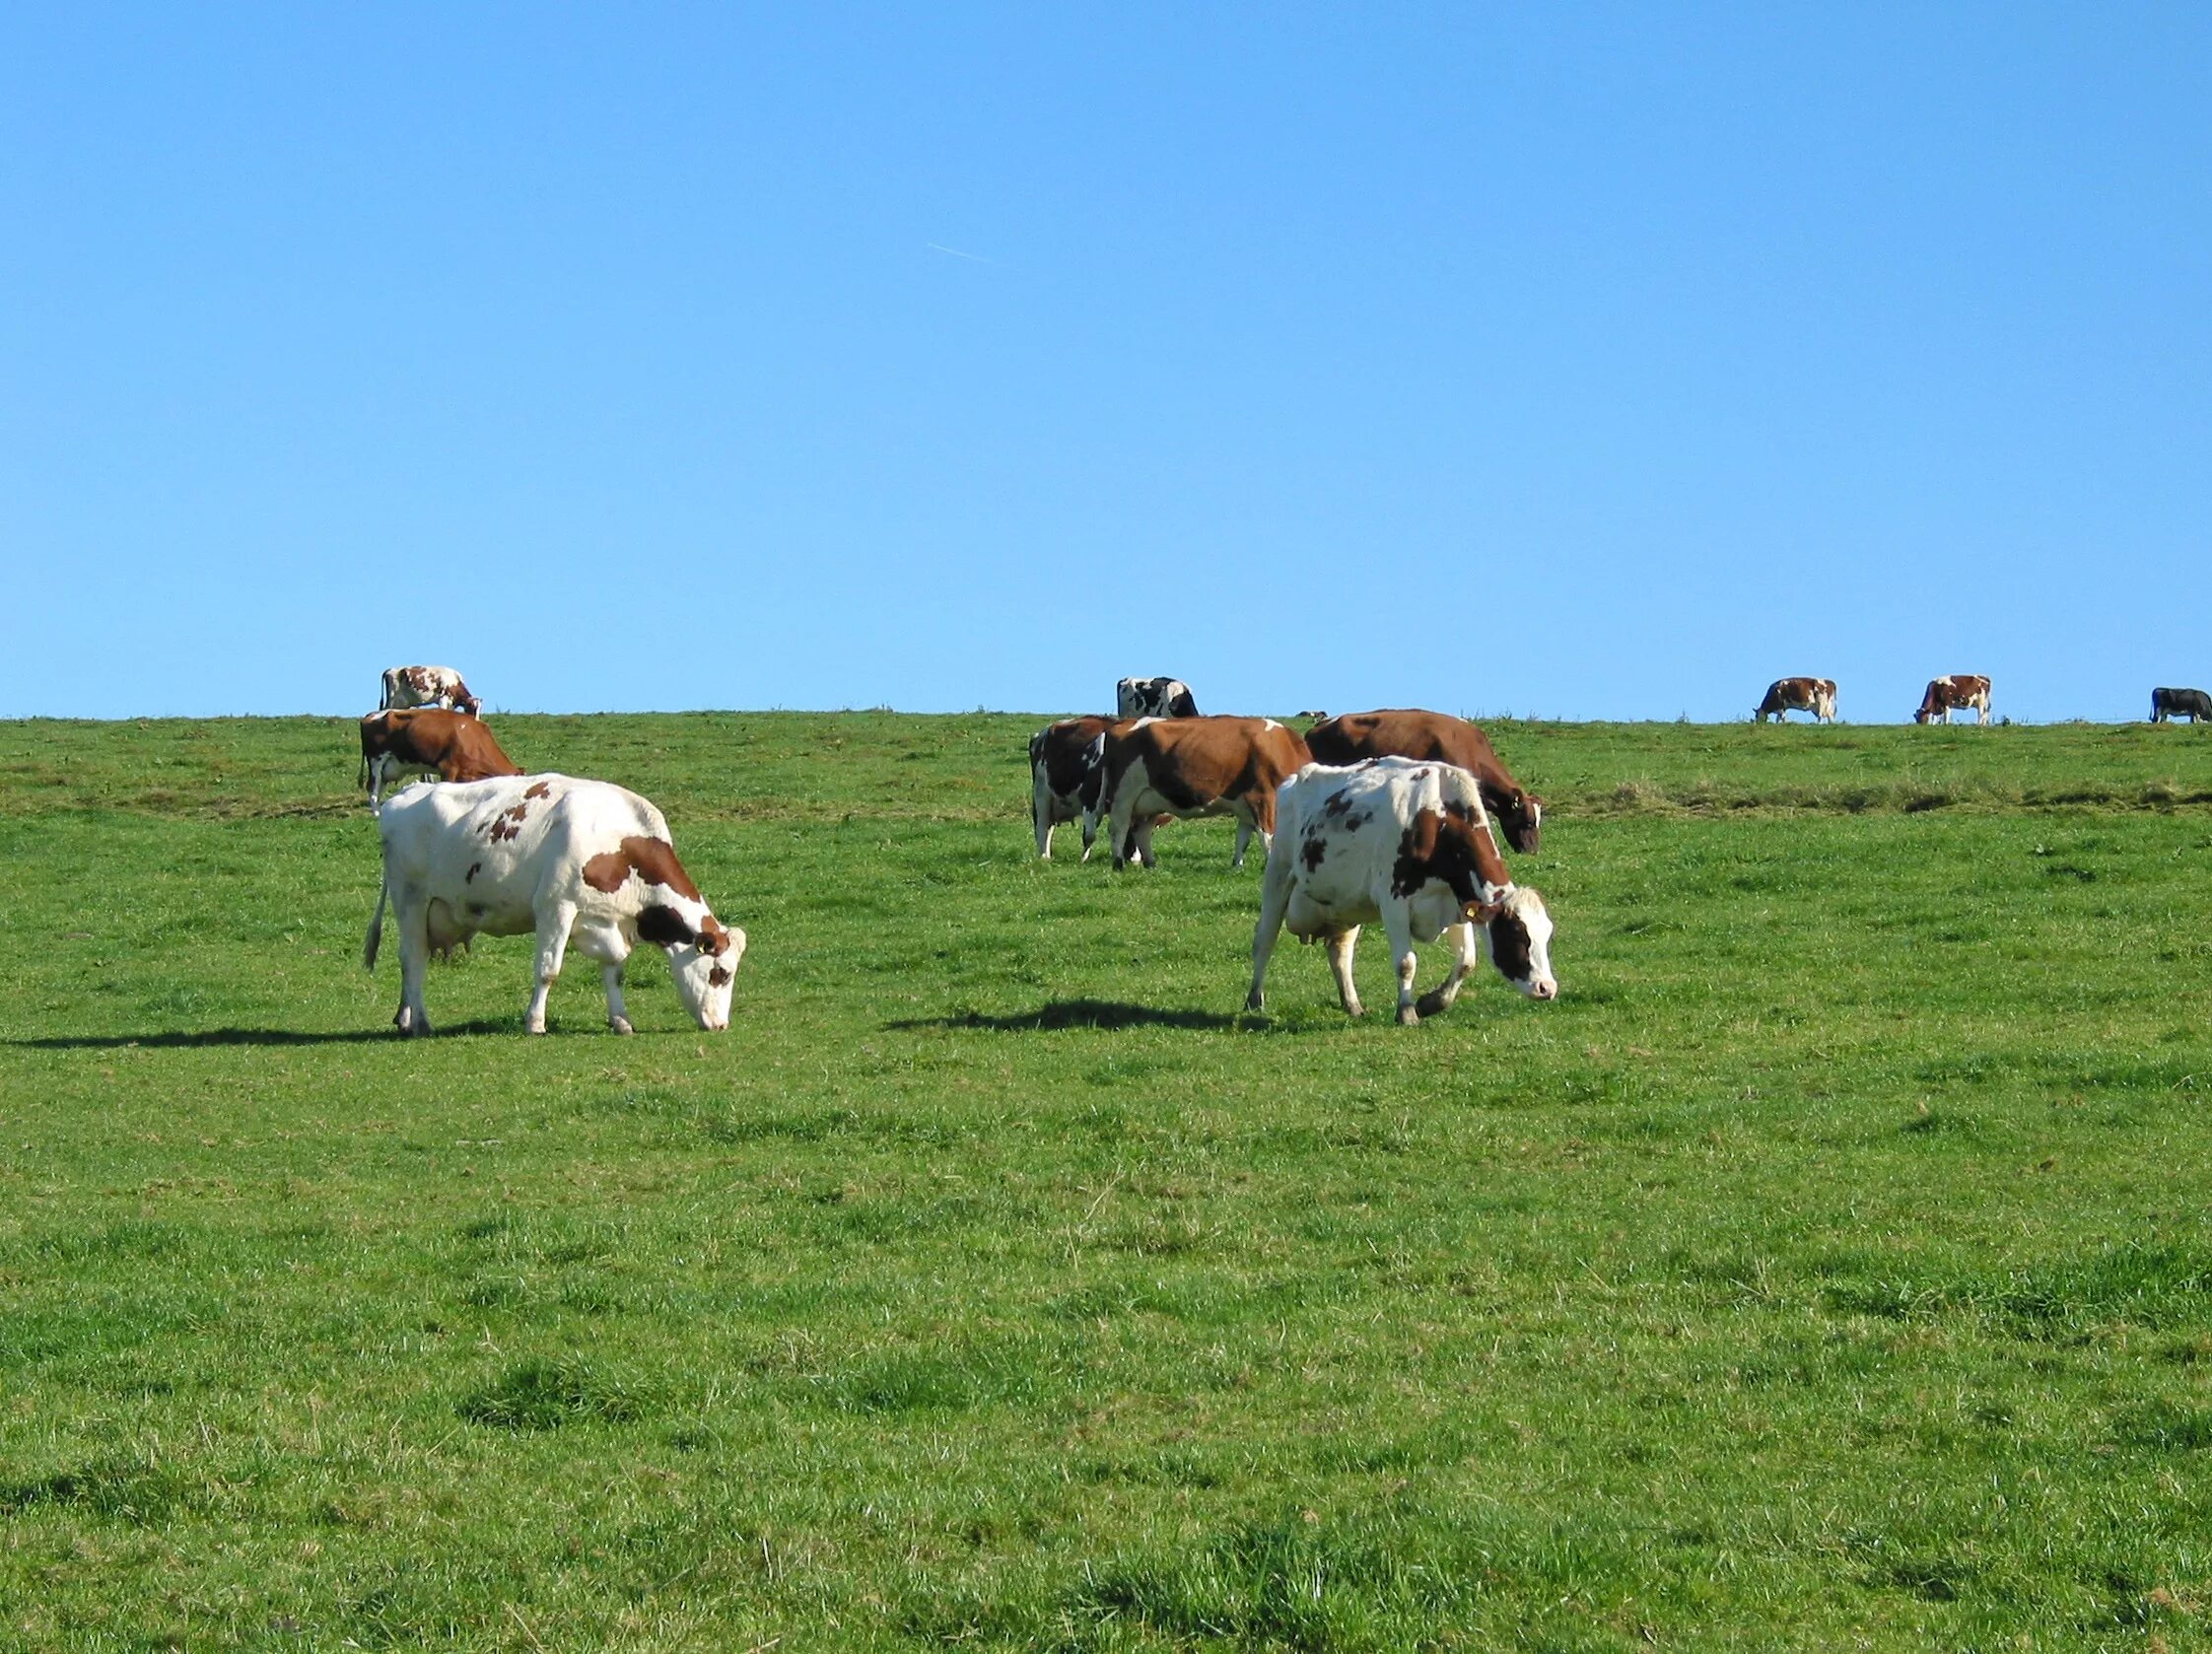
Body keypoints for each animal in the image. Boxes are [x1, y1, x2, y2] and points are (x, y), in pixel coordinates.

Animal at [358, 774, 747, 1034]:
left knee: (412, 959)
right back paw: (421, 1022)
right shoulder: (555, 907)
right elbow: (548, 970)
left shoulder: (609, 922)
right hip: (410, 899)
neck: (618, 844)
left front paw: (621, 1020)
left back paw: (405, 1017)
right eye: (721, 973)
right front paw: (535, 1022)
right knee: (413, 959)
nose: (721, 1025)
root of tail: (407, 792)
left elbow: (615, 972)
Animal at [1092, 712, 1309, 866]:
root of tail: (1122, 724)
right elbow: (1268, 836)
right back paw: (1118, 864)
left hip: (1151, 800)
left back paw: (1151, 864)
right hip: (1124, 795)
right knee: (1118, 828)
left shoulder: (1245, 804)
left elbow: (1243, 838)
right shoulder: (1262, 796)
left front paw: (1237, 866)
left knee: (1141, 830)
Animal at [1247, 760, 1556, 1021]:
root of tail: (1295, 779)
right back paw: (1253, 999)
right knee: (1264, 939)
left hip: (1347, 903)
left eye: (1546, 934)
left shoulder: (1456, 900)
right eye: (1516, 933)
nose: (1547, 987)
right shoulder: (1394, 901)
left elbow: (1467, 961)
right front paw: (1407, 1012)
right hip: (1278, 873)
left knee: (1340, 951)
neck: (1438, 818)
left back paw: (1353, 1004)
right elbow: (1406, 963)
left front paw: (1432, 1002)